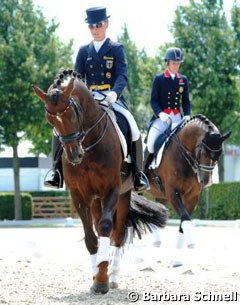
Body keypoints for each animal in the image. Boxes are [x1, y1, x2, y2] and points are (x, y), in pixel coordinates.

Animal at [31, 70, 167, 294]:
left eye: (73, 113)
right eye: (50, 119)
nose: (74, 155)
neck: (89, 144)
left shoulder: (111, 190)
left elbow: (105, 228)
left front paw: (103, 280)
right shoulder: (78, 194)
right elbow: (91, 237)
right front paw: (96, 276)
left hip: (123, 195)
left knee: (117, 234)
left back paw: (113, 277)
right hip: (95, 200)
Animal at [144, 114, 231, 264]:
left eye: (220, 154)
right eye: (202, 151)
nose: (205, 181)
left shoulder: (192, 197)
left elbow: (184, 222)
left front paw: (177, 259)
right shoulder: (172, 193)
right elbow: (185, 218)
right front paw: (191, 245)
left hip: (160, 196)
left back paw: (156, 242)